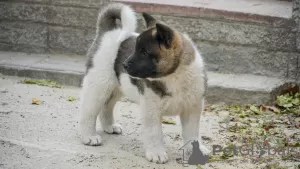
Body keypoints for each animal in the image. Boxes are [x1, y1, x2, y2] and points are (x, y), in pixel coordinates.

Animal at [78, 2, 207, 164]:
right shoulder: (151, 110)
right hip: (99, 86)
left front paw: (196, 150)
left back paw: (110, 126)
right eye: (135, 49)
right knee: (88, 111)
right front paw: (157, 153)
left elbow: (192, 133)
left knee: (106, 106)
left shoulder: (192, 109)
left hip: (116, 88)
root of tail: (108, 32)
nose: (124, 65)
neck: (174, 76)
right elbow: (154, 133)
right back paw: (88, 136)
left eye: (145, 52)